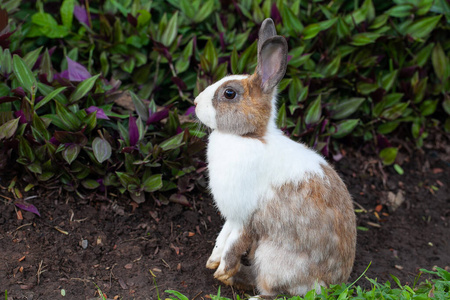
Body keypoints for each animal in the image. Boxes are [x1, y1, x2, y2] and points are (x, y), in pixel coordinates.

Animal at [193, 18, 356, 298]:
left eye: (229, 93)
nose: (194, 102)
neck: (249, 137)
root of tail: (329, 285)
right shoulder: (232, 216)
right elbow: (222, 237)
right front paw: (213, 263)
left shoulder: (245, 214)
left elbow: (234, 243)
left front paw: (222, 271)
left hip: (273, 258)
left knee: (275, 290)